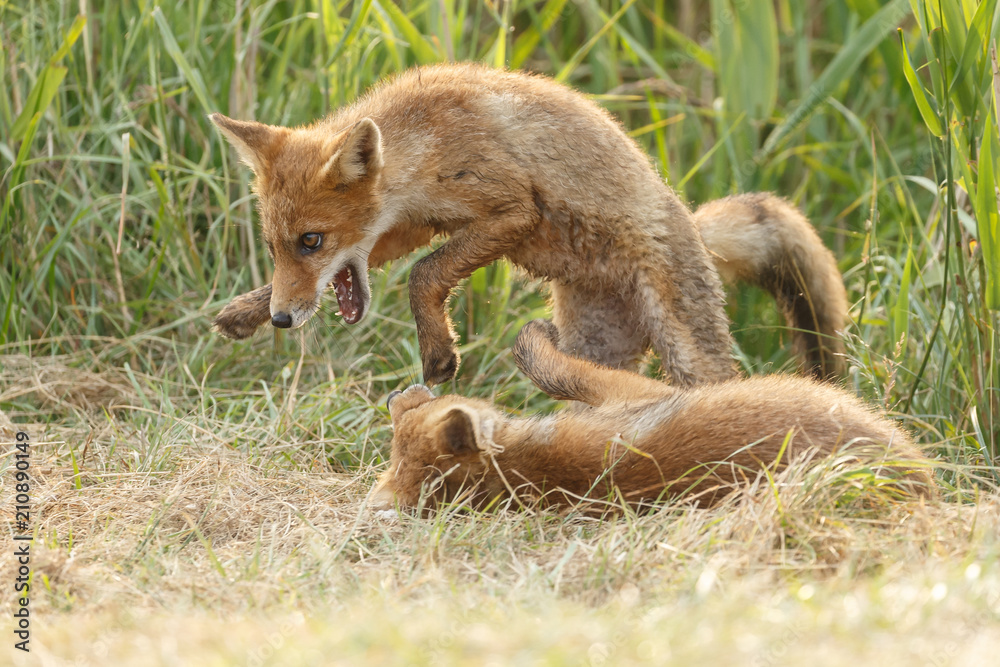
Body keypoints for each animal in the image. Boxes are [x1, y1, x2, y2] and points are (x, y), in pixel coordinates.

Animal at [209, 63, 847, 386]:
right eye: (276, 247)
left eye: (312, 241)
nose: (283, 320)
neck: (426, 144)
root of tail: (688, 221)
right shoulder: (414, 226)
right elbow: (410, 264)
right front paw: (245, 311)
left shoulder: (513, 208)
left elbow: (424, 276)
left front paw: (438, 355)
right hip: (593, 351)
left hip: (689, 352)